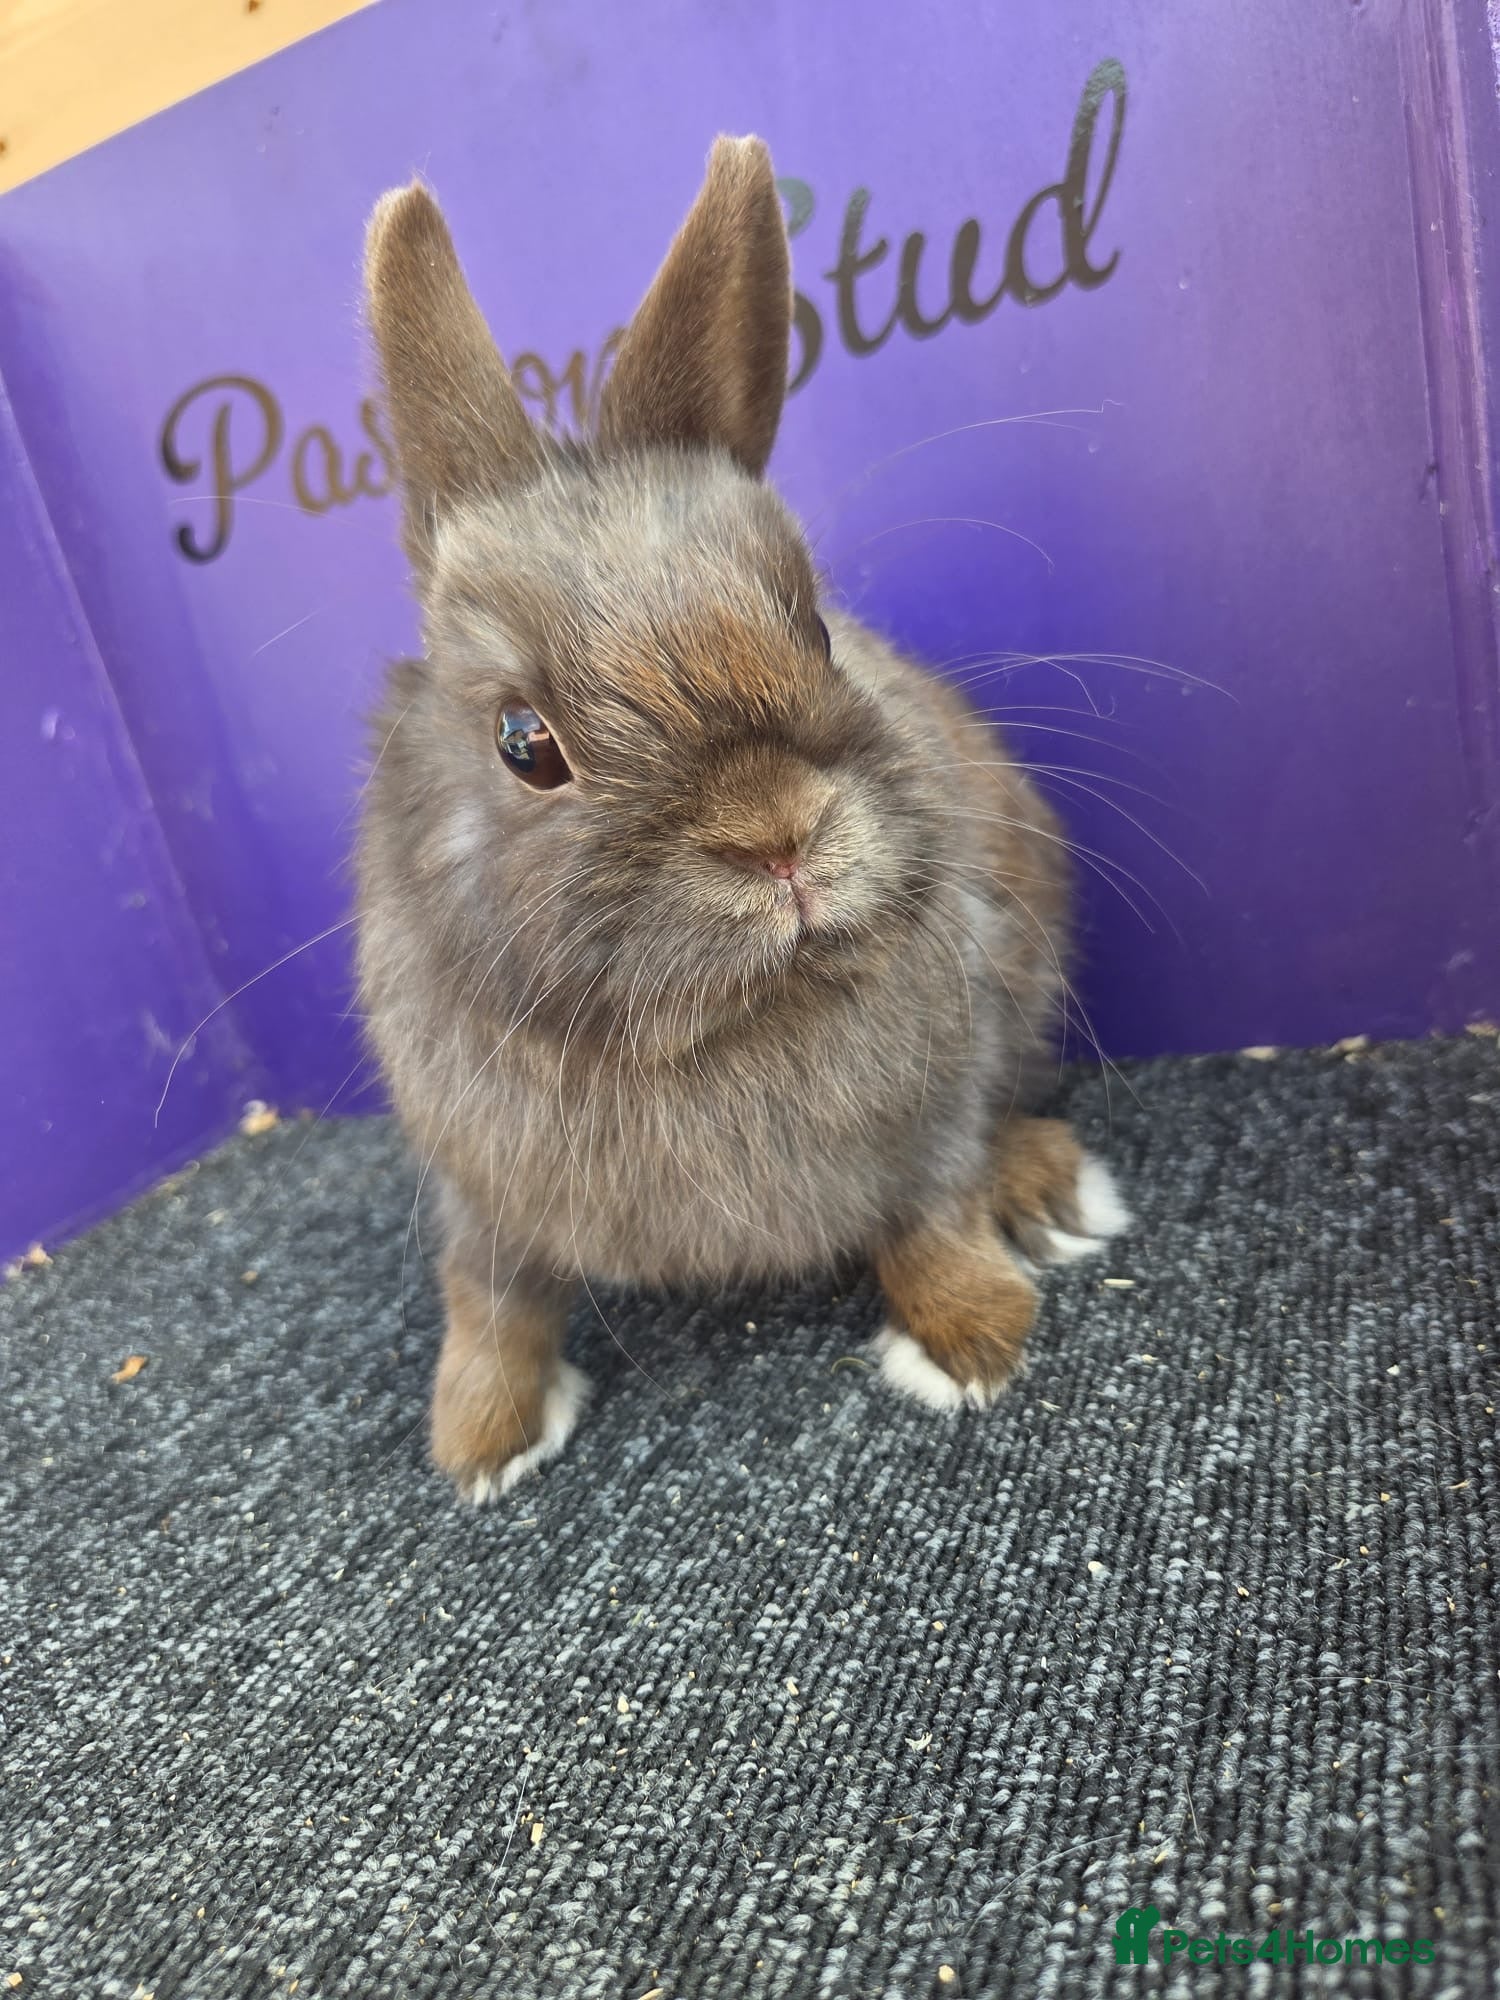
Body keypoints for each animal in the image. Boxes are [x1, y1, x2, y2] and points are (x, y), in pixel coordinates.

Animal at [356, 135, 1129, 1502]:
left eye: (814, 626)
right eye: (523, 741)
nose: (779, 838)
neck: (717, 1029)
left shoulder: (932, 1113)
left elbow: (930, 1216)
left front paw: (978, 1338)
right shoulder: (475, 1191)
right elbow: (488, 1297)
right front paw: (483, 1442)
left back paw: (1046, 1193)